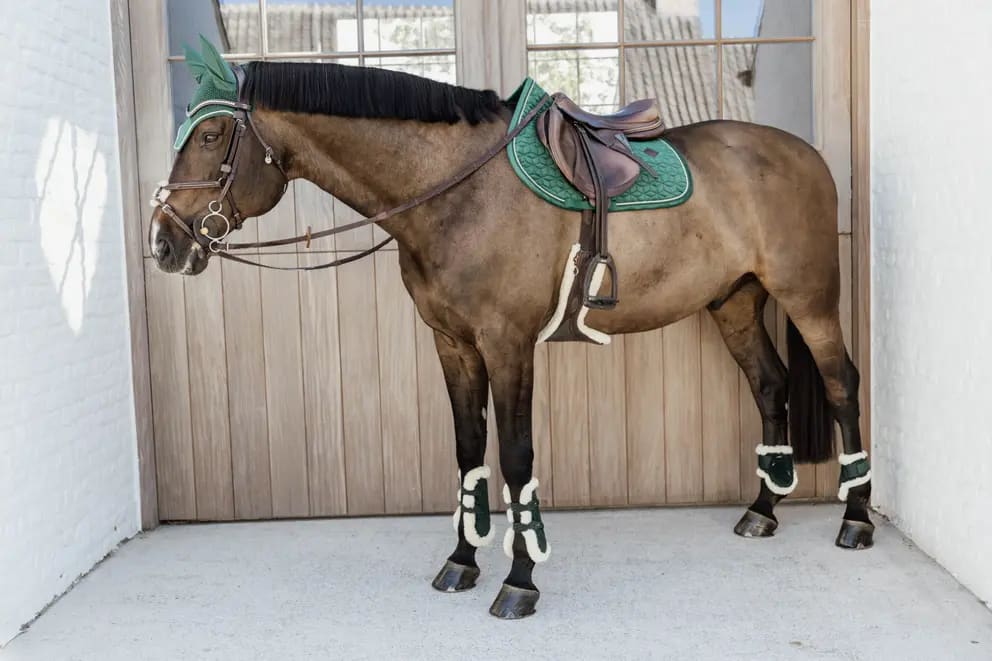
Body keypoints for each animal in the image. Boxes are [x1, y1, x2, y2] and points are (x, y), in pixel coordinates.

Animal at [148, 53, 872, 619]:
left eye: (210, 134)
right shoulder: (453, 344)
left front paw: (520, 581)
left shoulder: (508, 344)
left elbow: (517, 457)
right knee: (771, 386)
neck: (458, 193)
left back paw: (856, 521)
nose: (162, 241)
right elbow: (469, 450)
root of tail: (805, 154)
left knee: (842, 385)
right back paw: (762, 512)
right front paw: (461, 562)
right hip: (736, 302)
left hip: (809, 299)